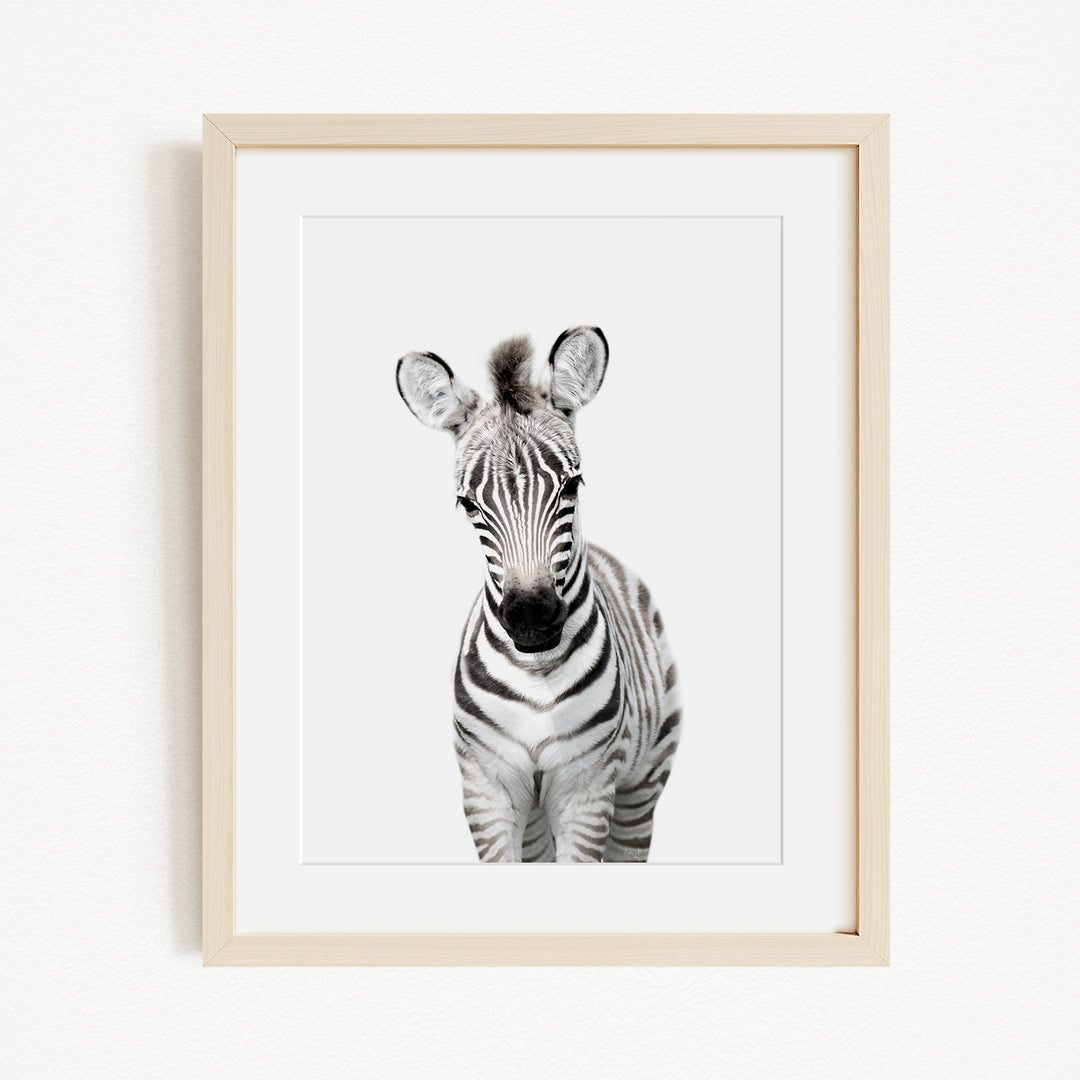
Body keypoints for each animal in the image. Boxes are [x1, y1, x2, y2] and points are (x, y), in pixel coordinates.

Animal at [395, 326, 681, 862]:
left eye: (572, 485)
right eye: (467, 504)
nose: (531, 617)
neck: (536, 675)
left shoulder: (588, 790)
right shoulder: (486, 789)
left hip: (642, 783)